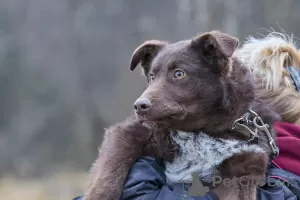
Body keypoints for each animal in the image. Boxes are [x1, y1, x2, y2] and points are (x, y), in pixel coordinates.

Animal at [83, 30, 280, 200]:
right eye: (152, 76)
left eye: (179, 73)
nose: (139, 106)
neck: (200, 131)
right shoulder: (131, 132)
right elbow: (109, 175)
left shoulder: (242, 165)